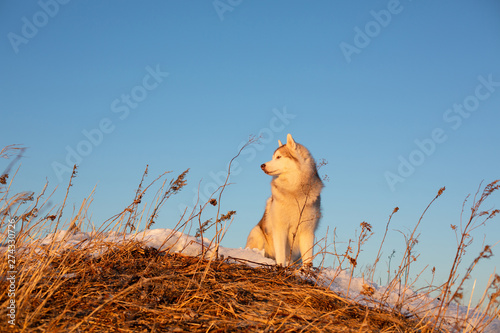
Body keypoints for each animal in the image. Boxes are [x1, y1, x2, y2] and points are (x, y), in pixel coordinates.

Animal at [246, 132, 324, 264]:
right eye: (273, 157)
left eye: (279, 157)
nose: (262, 165)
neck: (294, 191)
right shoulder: (280, 228)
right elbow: (281, 255)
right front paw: (280, 266)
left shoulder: (307, 232)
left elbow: (308, 259)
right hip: (257, 233)